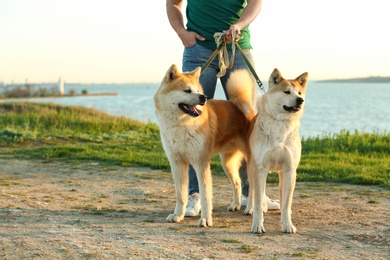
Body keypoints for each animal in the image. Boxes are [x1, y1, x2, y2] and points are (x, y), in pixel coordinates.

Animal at [154, 64, 258, 226]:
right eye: (187, 90)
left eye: (198, 90)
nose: (203, 97)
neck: (182, 125)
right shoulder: (177, 163)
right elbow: (181, 194)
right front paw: (178, 215)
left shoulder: (201, 163)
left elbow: (205, 196)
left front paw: (205, 219)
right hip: (227, 163)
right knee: (237, 183)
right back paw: (236, 204)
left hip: (250, 162)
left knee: (253, 188)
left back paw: (252, 208)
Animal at [245, 67, 310, 234]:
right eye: (287, 92)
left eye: (299, 93)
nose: (300, 100)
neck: (281, 123)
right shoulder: (260, 168)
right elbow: (258, 199)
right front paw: (257, 225)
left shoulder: (289, 169)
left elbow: (287, 202)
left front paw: (287, 224)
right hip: (251, 168)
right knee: (253, 191)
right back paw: (249, 208)